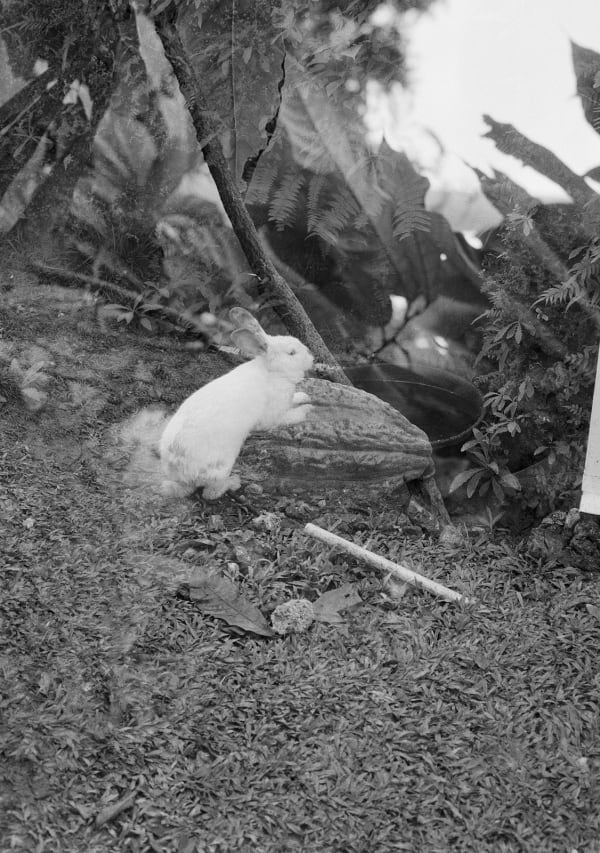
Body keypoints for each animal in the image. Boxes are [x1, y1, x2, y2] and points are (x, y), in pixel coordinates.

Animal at [159, 307, 314, 499]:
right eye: (291, 353)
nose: (311, 356)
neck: (273, 371)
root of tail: (180, 472)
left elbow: (295, 398)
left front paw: (305, 396)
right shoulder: (272, 417)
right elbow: (290, 416)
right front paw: (307, 409)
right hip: (223, 465)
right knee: (210, 493)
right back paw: (234, 482)